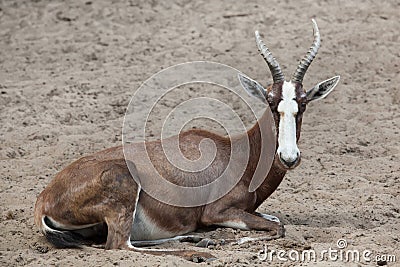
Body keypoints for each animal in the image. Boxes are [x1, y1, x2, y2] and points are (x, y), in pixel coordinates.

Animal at [35, 19, 340, 262]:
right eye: (270, 101)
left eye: (303, 103)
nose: (288, 157)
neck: (237, 151)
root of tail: (44, 199)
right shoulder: (216, 212)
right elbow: (278, 227)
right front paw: (227, 239)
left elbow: (276, 220)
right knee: (119, 246)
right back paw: (199, 251)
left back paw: (198, 240)